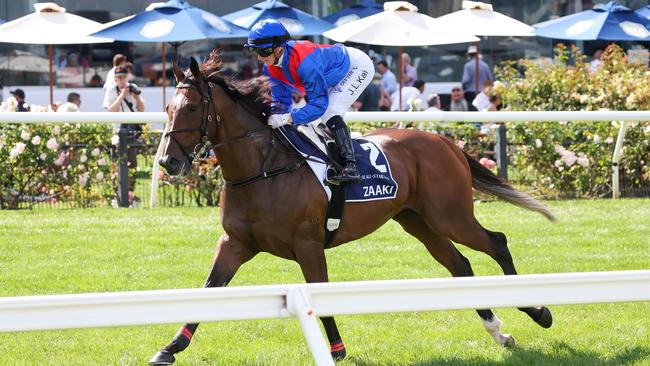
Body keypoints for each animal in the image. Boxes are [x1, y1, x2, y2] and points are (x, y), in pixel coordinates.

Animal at [151, 50, 552, 364]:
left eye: (191, 107)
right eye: (167, 108)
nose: (169, 162)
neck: (262, 169)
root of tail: (442, 140)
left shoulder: (308, 245)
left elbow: (320, 294)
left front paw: (337, 350)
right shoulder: (234, 243)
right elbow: (208, 290)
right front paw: (169, 348)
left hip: (451, 215)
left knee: (497, 242)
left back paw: (538, 310)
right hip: (419, 222)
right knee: (461, 267)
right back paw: (497, 331)